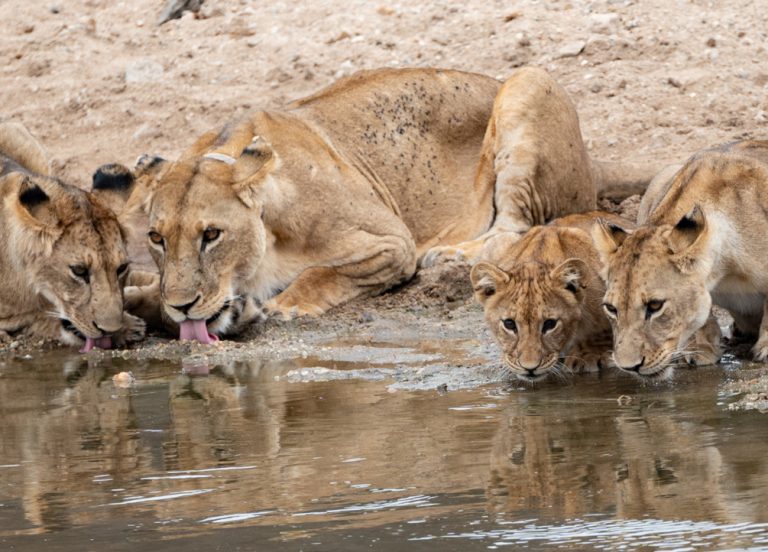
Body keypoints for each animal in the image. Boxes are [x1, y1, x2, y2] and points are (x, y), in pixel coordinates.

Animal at [99, 67, 660, 341]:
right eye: (156, 238)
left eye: (211, 235)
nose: (183, 304)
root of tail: (592, 160)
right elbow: (140, 293)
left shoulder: (392, 244)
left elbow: (323, 273)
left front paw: (285, 304)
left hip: (528, 84)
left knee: (514, 228)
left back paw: (451, 255)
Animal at [588, 141, 768, 378]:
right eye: (611, 308)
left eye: (655, 305)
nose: (629, 367)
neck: (724, 268)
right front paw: (701, 348)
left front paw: (766, 348)